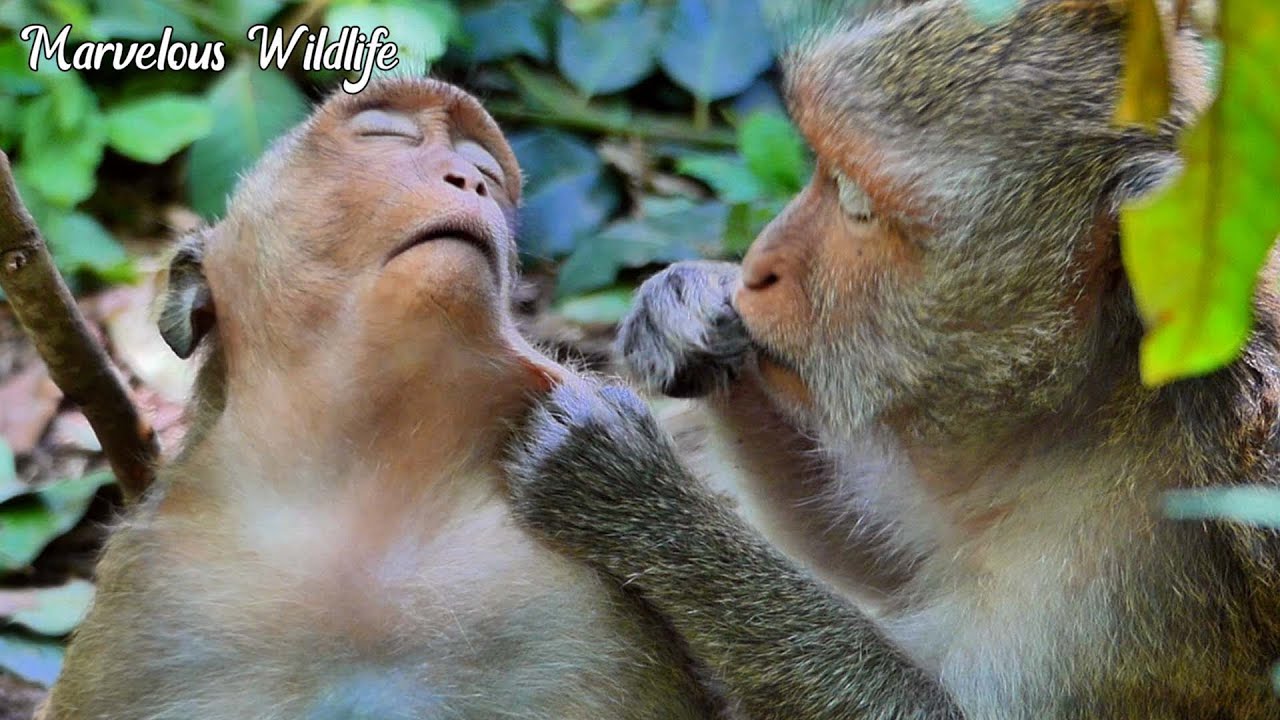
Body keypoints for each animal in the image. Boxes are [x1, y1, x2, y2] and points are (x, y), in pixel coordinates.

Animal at [504, 1, 1280, 718]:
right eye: (822, 169)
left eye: (858, 203)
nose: (756, 269)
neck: (1115, 393)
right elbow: (876, 557)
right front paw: (688, 307)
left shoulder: (1144, 588)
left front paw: (639, 497)